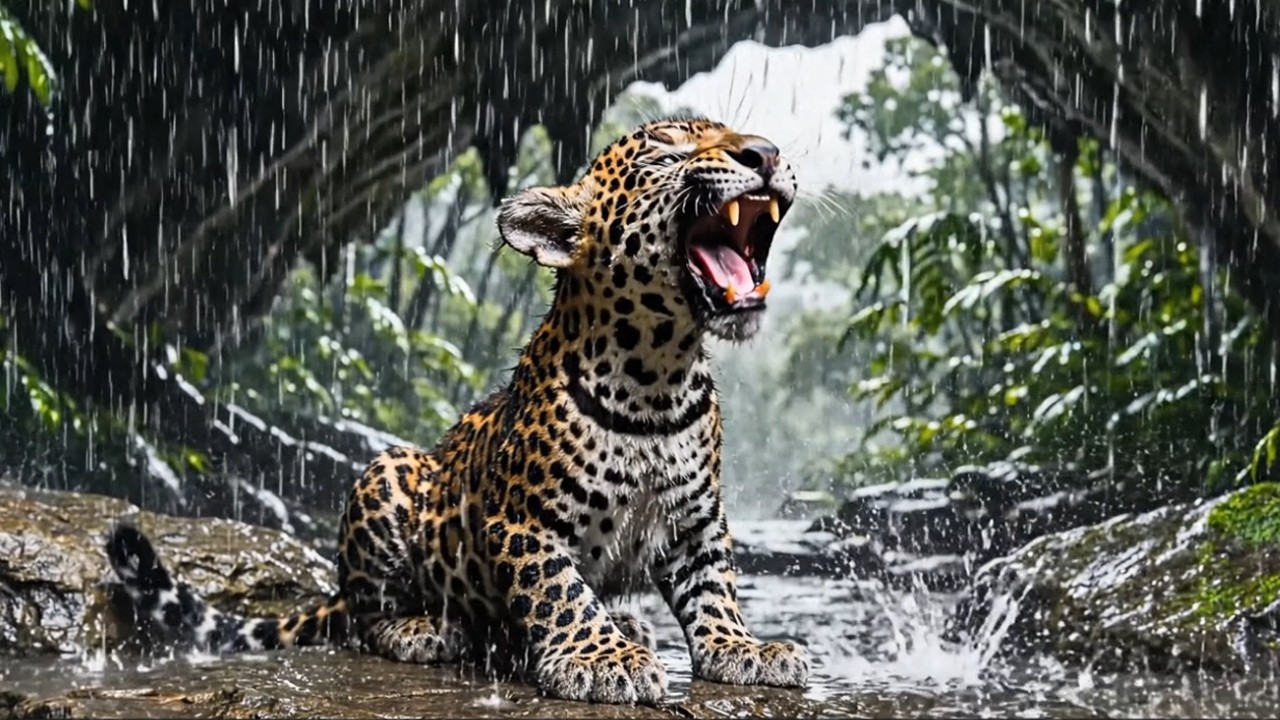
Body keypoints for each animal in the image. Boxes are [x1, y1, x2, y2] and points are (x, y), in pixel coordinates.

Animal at [106, 117, 810, 705]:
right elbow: (561, 592)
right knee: (367, 616)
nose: (766, 153)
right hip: (384, 475)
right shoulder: (523, 521)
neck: (657, 376)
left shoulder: (698, 518)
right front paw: (599, 658)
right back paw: (425, 629)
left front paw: (744, 648)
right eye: (666, 151)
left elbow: (714, 588)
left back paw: (625, 620)